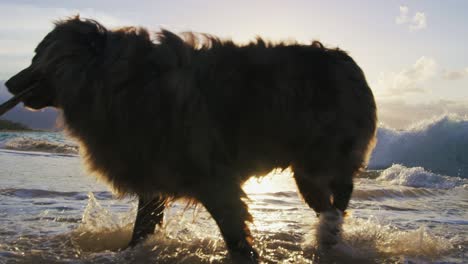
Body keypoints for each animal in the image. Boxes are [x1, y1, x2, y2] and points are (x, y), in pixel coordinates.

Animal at [4, 17, 376, 264]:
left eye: (37, 55)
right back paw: (328, 238)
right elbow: (143, 228)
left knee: (340, 194)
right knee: (330, 202)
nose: (8, 83)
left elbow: (235, 234)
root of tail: (347, 62)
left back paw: (330, 231)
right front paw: (130, 252)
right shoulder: (153, 179)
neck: (114, 80)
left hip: (320, 160)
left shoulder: (213, 180)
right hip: (306, 173)